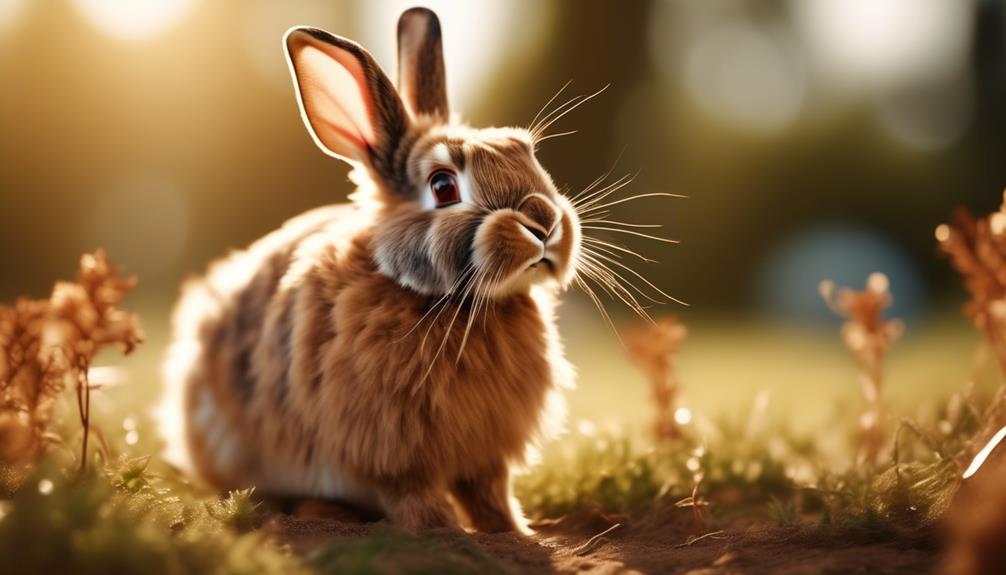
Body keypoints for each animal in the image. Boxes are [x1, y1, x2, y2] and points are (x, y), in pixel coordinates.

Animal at [157, 6, 587, 530]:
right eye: (443, 186)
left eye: (527, 154)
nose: (544, 224)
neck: (453, 303)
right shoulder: (389, 450)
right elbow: (411, 494)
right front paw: (441, 528)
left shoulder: (486, 455)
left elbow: (490, 492)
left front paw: (511, 530)